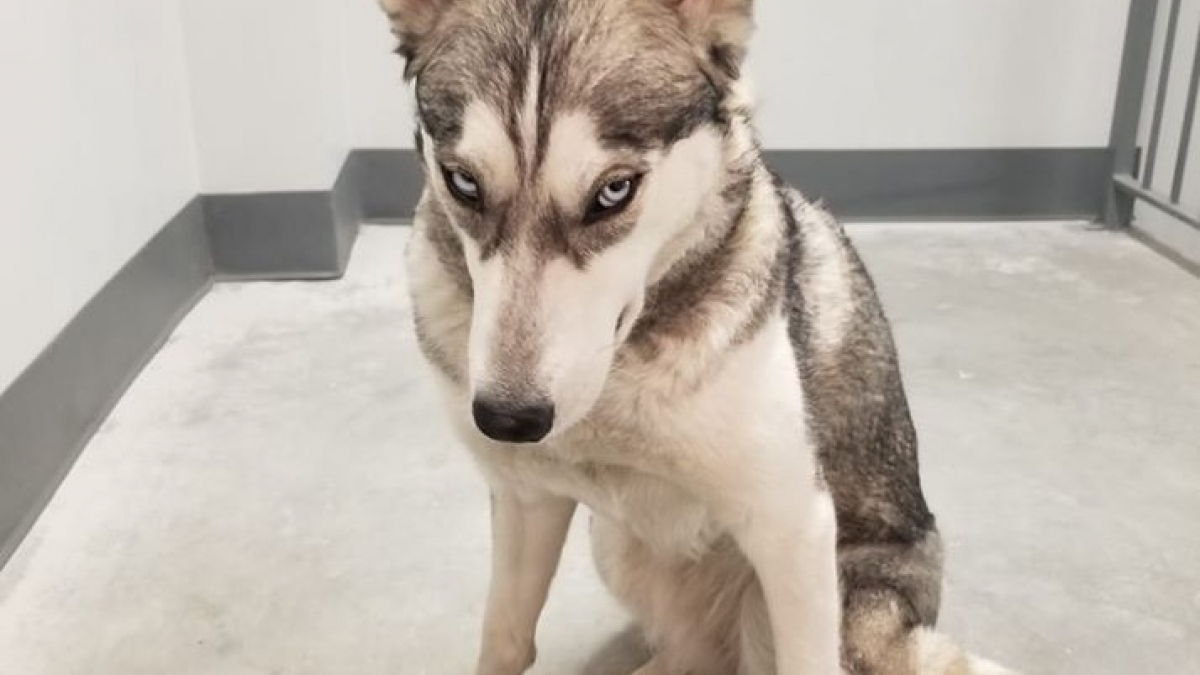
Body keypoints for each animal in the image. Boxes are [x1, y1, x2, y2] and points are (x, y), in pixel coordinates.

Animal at [381, 1, 1012, 672]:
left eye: (614, 190)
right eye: (462, 182)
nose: (507, 419)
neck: (620, 377)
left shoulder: (794, 525)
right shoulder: (526, 498)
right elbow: (503, 637)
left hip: (814, 599)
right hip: (616, 544)